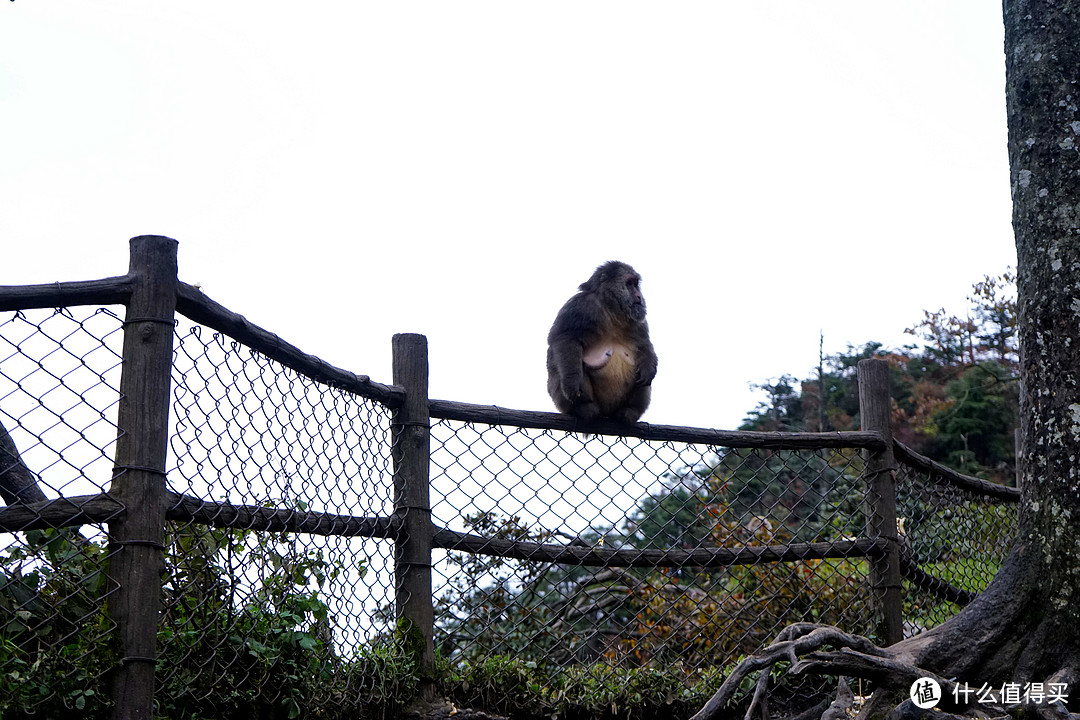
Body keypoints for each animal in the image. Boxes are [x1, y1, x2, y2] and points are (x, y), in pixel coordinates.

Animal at [544, 262, 652, 423]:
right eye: (629, 283)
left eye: (636, 284)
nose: (639, 296)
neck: (612, 309)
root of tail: (606, 412)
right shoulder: (580, 305)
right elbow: (564, 338)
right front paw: (571, 382)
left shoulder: (638, 319)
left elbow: (643, 344)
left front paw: (649, 369)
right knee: (568, 362)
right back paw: (583, 408)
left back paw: (629, 411)